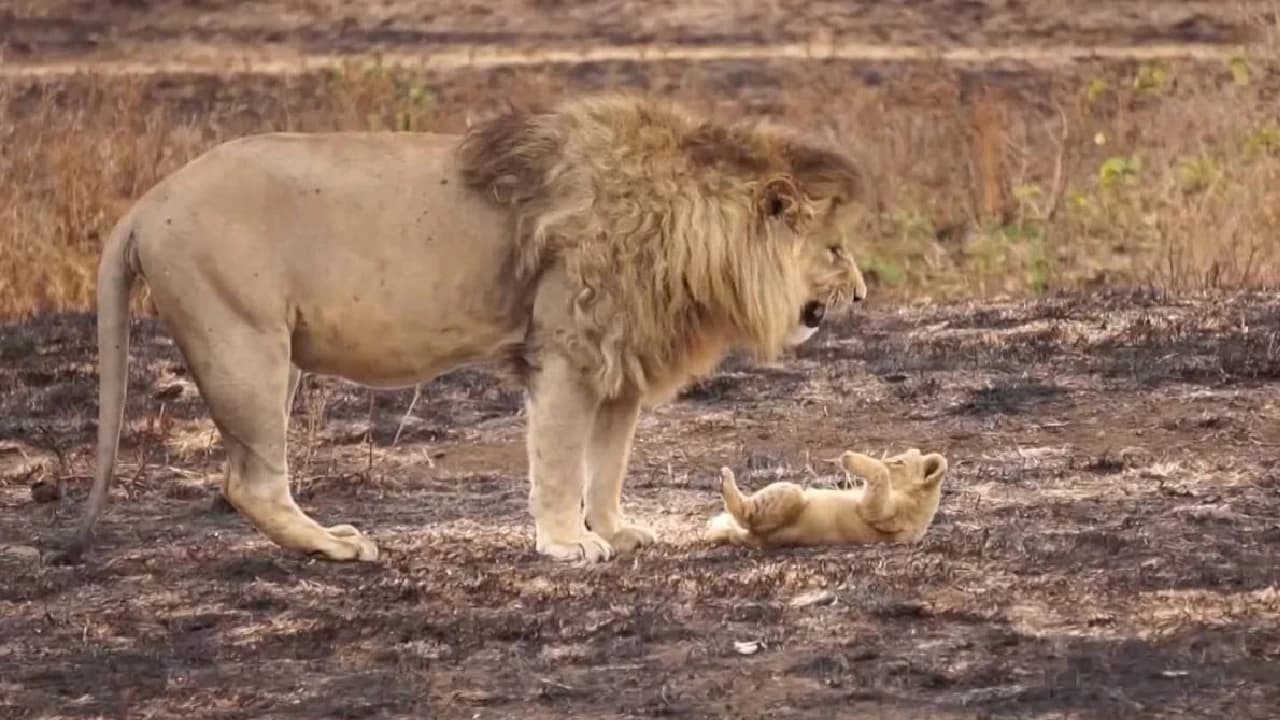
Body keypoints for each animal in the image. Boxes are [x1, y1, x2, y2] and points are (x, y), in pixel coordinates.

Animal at [70, 90, 870, 561]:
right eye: (835, 249)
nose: (863, 296)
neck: (691, 232)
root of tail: (147, 203)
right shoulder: (567, 352)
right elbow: (560, 462)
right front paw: (567, 545)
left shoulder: (620, 362)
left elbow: (607, 465)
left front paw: (616, 530)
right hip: (242, 345)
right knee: (251, 482)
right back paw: (335, 546)